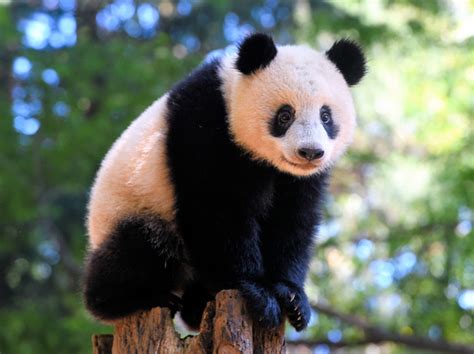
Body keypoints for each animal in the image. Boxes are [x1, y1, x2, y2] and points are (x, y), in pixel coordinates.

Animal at [83, 33, 366, 332]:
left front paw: (292, 299)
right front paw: (257, 293)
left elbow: (292, 221)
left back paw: (196, 307)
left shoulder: (297, 180)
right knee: (141, 246)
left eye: (326, 116)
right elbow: (217, 212)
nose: (310, 152)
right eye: (285, 115)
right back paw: (134, 299)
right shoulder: (205, 128)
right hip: (134, 206)